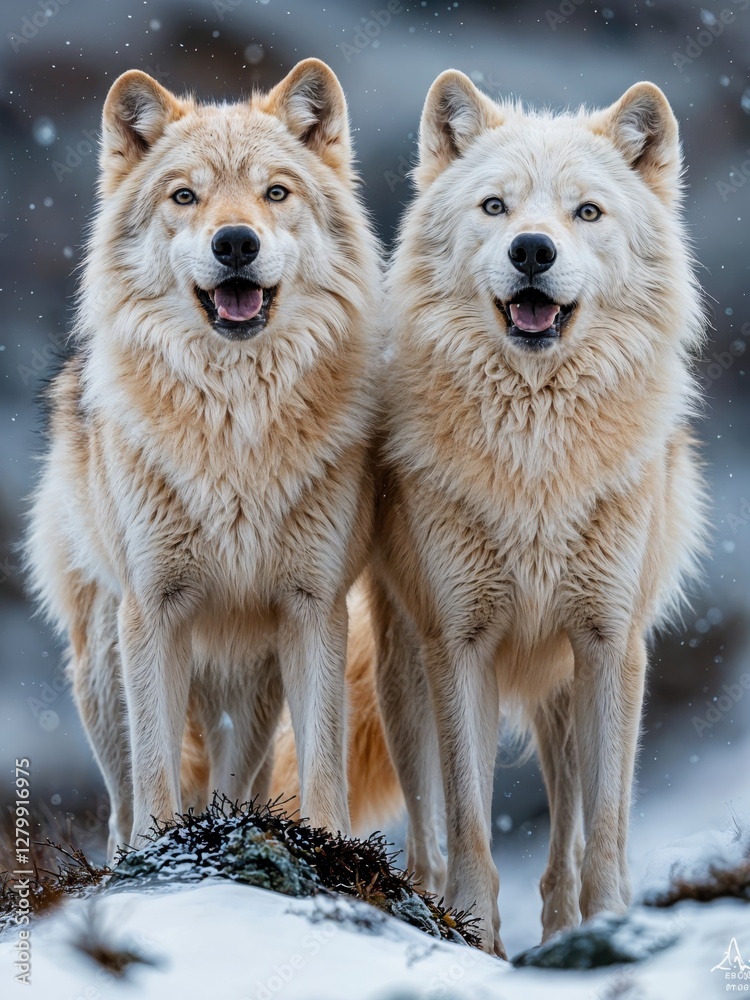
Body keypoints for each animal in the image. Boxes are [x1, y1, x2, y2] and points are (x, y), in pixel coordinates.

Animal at [25, 59, 382, 853]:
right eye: (184, 195)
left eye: (276, 192)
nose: (236, 242)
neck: (236, 428)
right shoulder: (153, 611)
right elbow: (156, 769)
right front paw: (163, 852)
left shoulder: (312, 607)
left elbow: (323, 764)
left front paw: (328, 845)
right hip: (104, 666)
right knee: (124, 800)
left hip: (254, 679)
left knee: (239, 778)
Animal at [366, 73, 707, 955]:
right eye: (496, 207)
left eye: (586, 212)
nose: (532, 250)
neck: (536, 465)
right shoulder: (461, 647)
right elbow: (469, 822)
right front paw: (471, 937)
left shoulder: (610, 643)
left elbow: (608, 827)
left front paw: (613, 922)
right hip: (403, 674)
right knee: (426, 824)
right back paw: (426, 902)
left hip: (564, 683)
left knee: (565, 836)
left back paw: (561, 928)